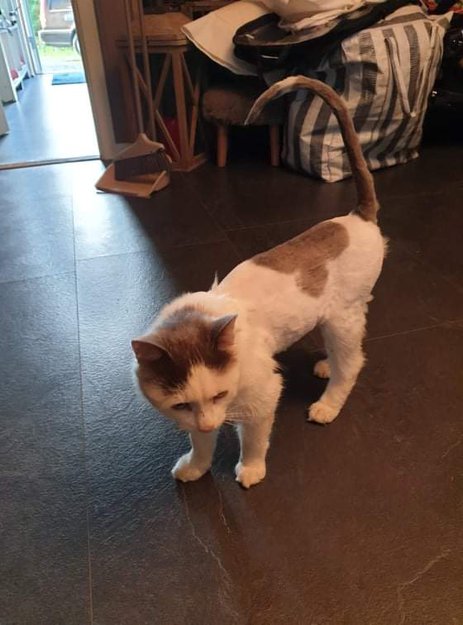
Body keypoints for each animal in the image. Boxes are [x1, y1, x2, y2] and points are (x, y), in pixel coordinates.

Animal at [132, 76, 386, 488]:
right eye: (181, 404)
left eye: (220, 395)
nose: (210, 422)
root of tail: (355, 217)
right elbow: (200, 445)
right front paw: (196, 467)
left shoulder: (263, 395)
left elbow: (252, 438)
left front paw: (250, 469)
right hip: (333, 318)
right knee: (347, 354)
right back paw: (326, 365)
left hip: (341, 318)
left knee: (353, 364)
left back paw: (327, 404)